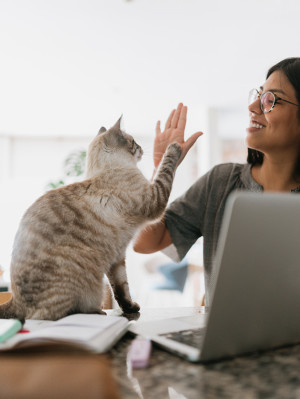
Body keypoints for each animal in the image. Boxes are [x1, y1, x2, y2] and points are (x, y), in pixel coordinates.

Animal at [0, 118, 182, 322]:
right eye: (134, 142)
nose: (142, 148)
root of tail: (14, 300)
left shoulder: (117, 258)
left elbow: (121, 288)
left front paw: (130, 308)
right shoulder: (156, 199)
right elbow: (166, 168)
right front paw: (174, 146)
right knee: (53, 314)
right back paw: (95, 311)